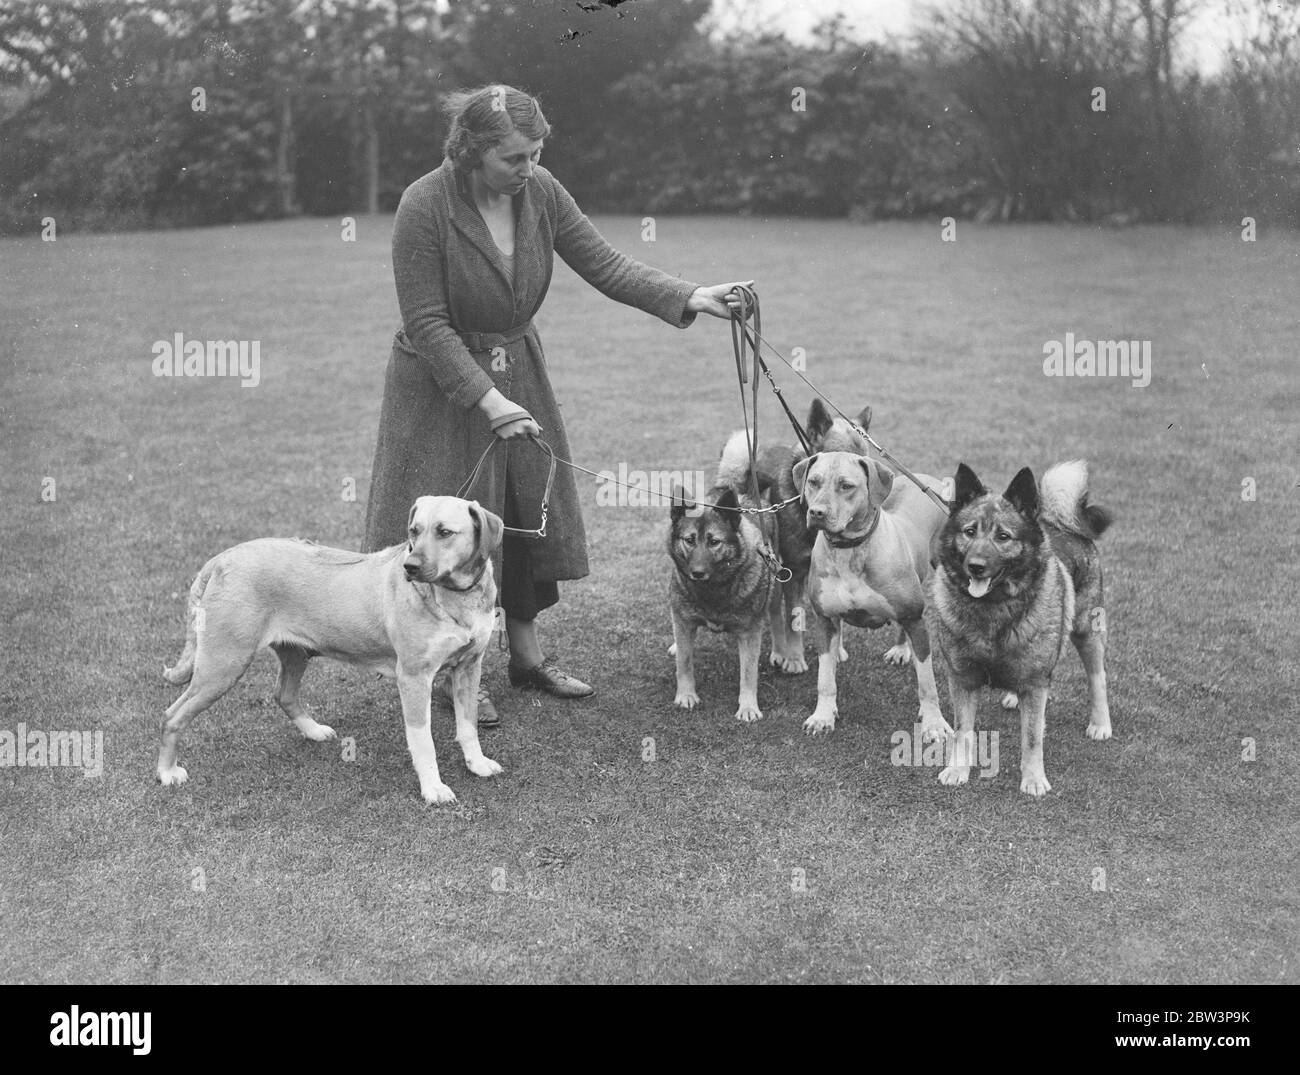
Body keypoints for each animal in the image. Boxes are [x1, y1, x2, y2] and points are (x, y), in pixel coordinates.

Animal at [159, 496, 504, 800]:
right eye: (414, 531)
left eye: (444, 532)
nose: (411, 566)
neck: (456, 597)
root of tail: (223, 557)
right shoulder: (414, 677)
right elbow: (423, 741)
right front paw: (433, 789)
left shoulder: (469, 667)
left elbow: (468, 724)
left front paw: (477, 764)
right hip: (223, 664)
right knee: (173, 714)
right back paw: (167, 772)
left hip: (293, 653)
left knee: (283, 694)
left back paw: (313, 731)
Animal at [790, 449, 956, 743]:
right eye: (813, 482)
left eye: (846, 486)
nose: (817, 512)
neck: (850, 549)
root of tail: (930, 481)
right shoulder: (824, 620)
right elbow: (825, 678)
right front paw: (823, 716)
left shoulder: (915, 619)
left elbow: (927, 682)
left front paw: (934, 723)